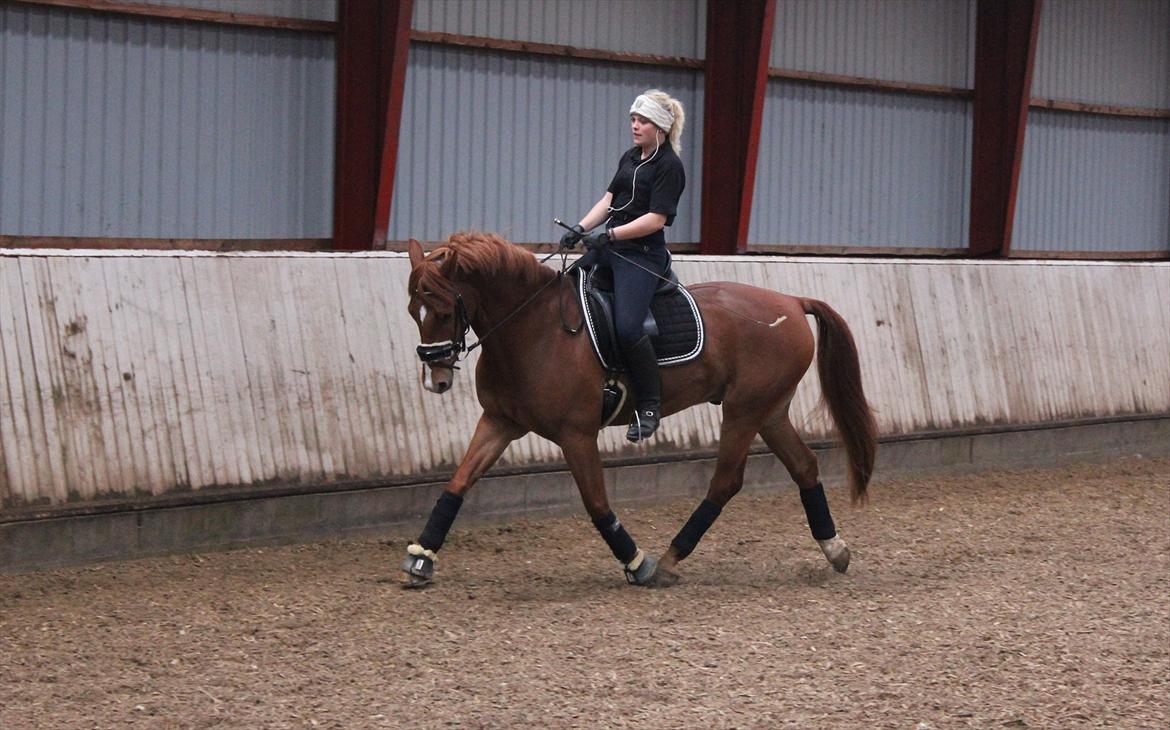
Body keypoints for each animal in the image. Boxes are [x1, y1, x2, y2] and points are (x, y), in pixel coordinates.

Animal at [397, 233, 875, 587]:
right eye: (412, 311)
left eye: (442, 309)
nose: (436, 380)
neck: (534, 330)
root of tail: (791, 302)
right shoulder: (500, 422)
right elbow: (458, 483)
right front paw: (421, 557)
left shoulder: (576, 434)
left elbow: (596, 503)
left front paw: (637, 563)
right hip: (770, 410)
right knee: (804, 465)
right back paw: (835, 550)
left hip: (744, 409)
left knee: (726, 481)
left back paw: (669, 559)